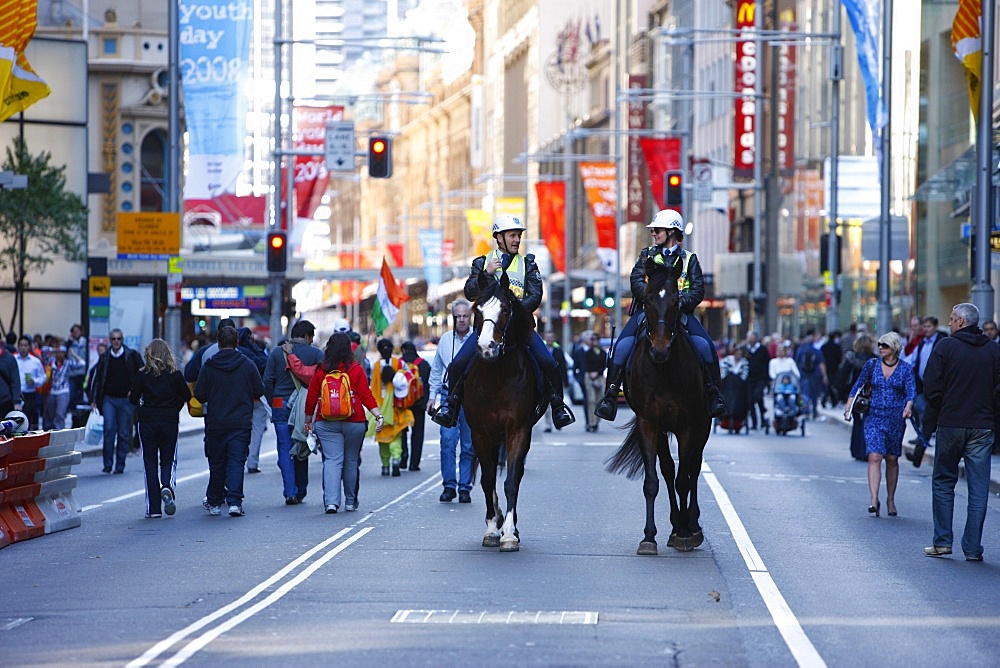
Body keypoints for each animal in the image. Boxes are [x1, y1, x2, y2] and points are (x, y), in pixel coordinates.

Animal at [462, 272, 544, 552]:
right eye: (477, 310)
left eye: (506, 309)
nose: (487, 347)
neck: (497, 376)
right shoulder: (479, 433)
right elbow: (488, 481)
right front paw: (491, 528)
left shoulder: (518, 431)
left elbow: (511, 481)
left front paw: (508, 534)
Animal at [604, 258, 716, 556]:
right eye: (648, 299)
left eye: (677, 299)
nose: (660, 350)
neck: (664, 370)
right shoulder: (649, 423)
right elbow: (654, 480)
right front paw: (649, 537)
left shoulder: (689, 425)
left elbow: (684, 479)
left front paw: (686, 533)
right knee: (667, 470)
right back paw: (675, 524)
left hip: (703, 425)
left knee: (693, 469)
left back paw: (691, 524)